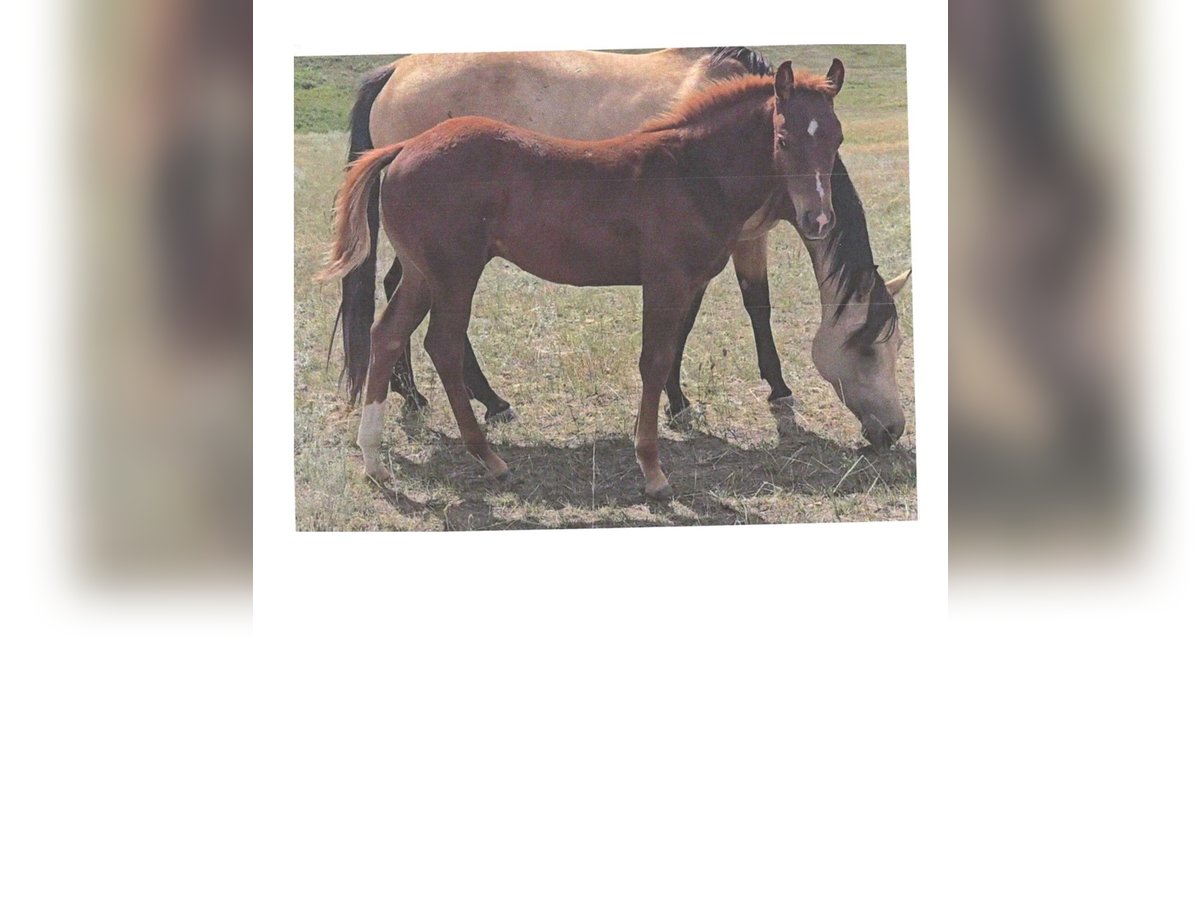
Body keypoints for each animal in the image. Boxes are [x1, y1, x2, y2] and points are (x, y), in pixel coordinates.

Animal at [321, 61, 895, 497]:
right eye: (783, 138)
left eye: (837, 137)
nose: (819, 219)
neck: (689, 172)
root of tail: (403, 148)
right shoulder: (666, 281)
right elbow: (655, 361)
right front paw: (653, 470)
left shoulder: (687, 281)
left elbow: (672, 350)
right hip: (454, 273)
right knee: (440, 343)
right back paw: (488, 454)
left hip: (426, 274)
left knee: (386, 335)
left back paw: (375, 459)